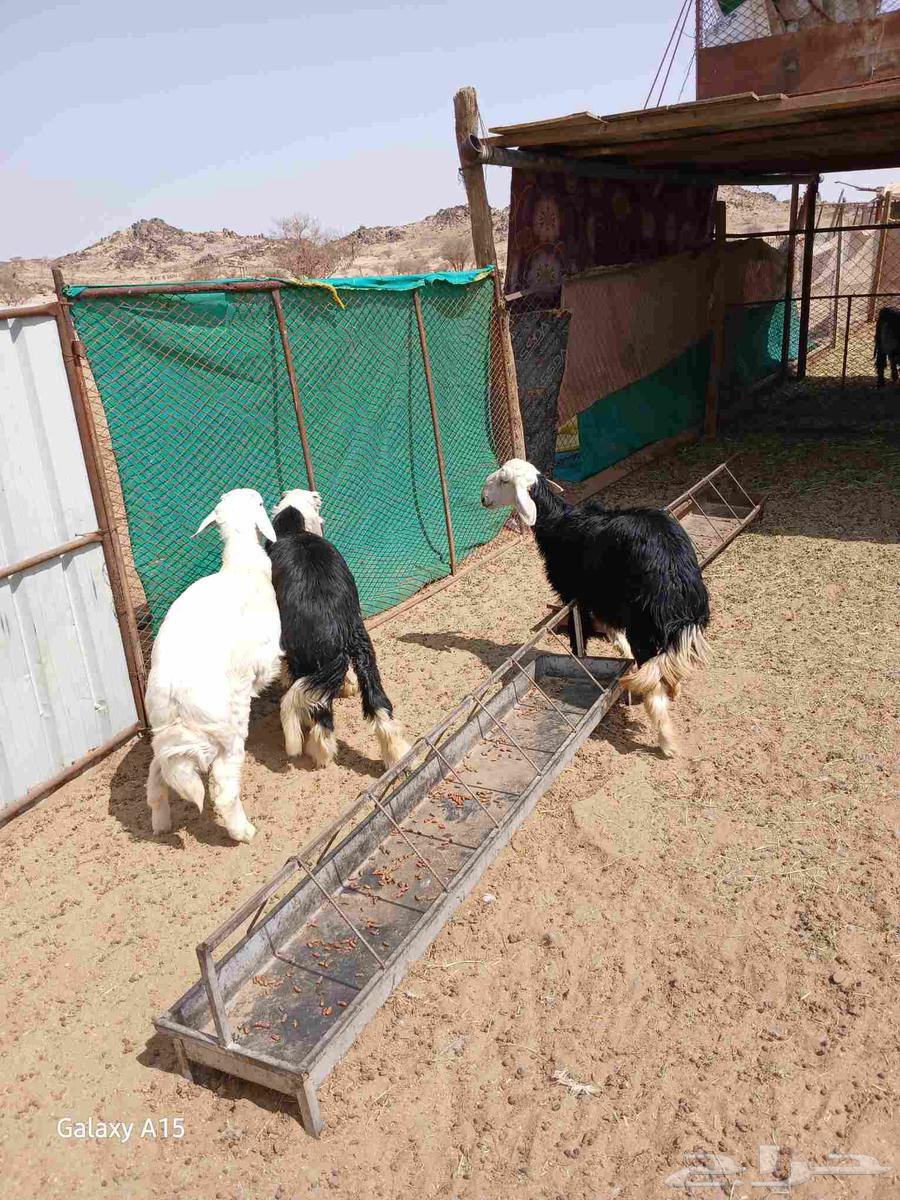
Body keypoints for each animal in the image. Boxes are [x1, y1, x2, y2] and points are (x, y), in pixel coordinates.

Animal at [145, 488, 282, 843]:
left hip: (163, 738)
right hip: (226, 727)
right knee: (223, 787)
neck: (241, 566)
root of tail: (175, 698)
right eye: (261, 504)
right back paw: (243, 831)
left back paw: (161, 824)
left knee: (156, 778)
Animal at [266, 489, 410, 770]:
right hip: (364, 654)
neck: (296, 529)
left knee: (322, 715)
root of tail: (336, 627)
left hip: (310, 661)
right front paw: (348, 685)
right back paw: (397, 754)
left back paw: (320, 754)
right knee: (378, 703)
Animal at [481, 459, 710, 757]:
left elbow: (579, 633)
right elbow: (612, 628)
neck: (557, 523)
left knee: (653, 688)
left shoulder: (573, 594)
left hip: (644, 626)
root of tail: (675, 581)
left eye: (504, 480)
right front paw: (621, 651)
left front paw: (581, 661)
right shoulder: (603, 596)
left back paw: (667, 742)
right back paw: (675, 689)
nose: (483, 498)